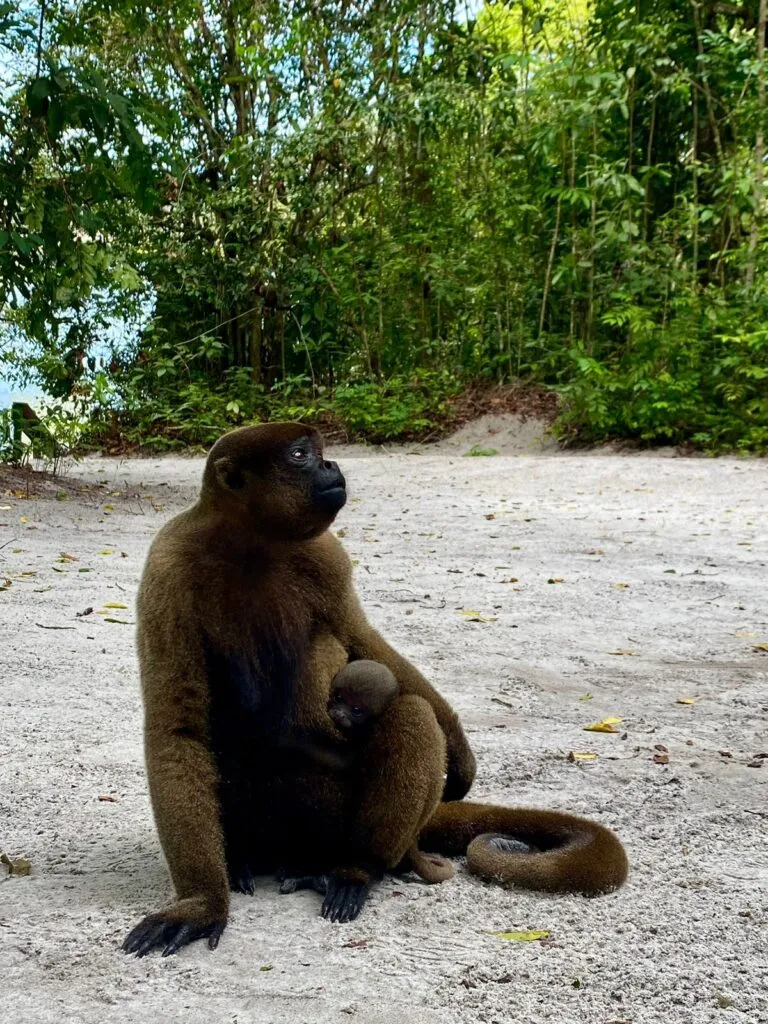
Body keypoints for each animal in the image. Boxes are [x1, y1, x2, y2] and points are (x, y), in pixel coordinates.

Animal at [121, 423, 629, 958]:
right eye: (300, 456)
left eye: (318, 452)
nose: (331, 465)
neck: (251, 545)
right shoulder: (168, 568)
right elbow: (176, 727)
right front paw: (201, 903)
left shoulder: (326, 555)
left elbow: (363, 639)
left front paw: (460, 750)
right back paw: (243, 863)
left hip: (334, 824)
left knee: (412, 714)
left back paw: (352, 870)